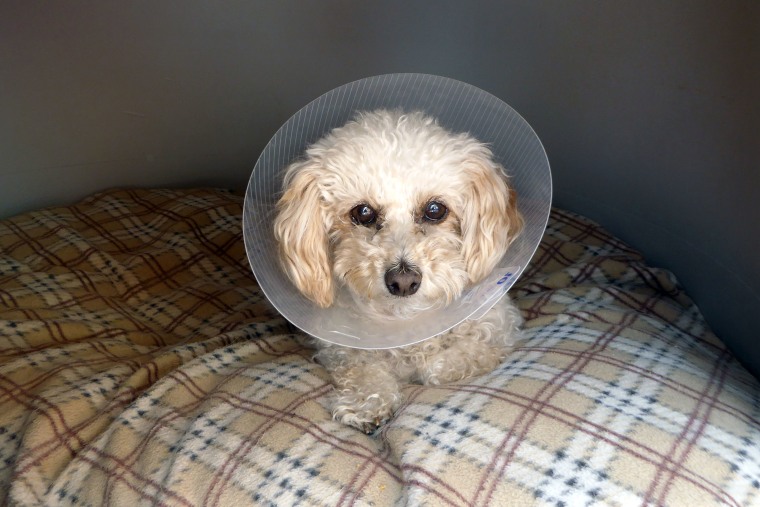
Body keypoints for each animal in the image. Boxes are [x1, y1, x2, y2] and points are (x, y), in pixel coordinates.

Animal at [272, 110, 524, 432]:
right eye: (363, 212)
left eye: (435, 209)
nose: (403, 281)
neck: (407, 324)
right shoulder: (340, 349)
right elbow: (362, 369)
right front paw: (366, 403)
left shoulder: (501, 328)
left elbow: (452, 361)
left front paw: (433, 364)